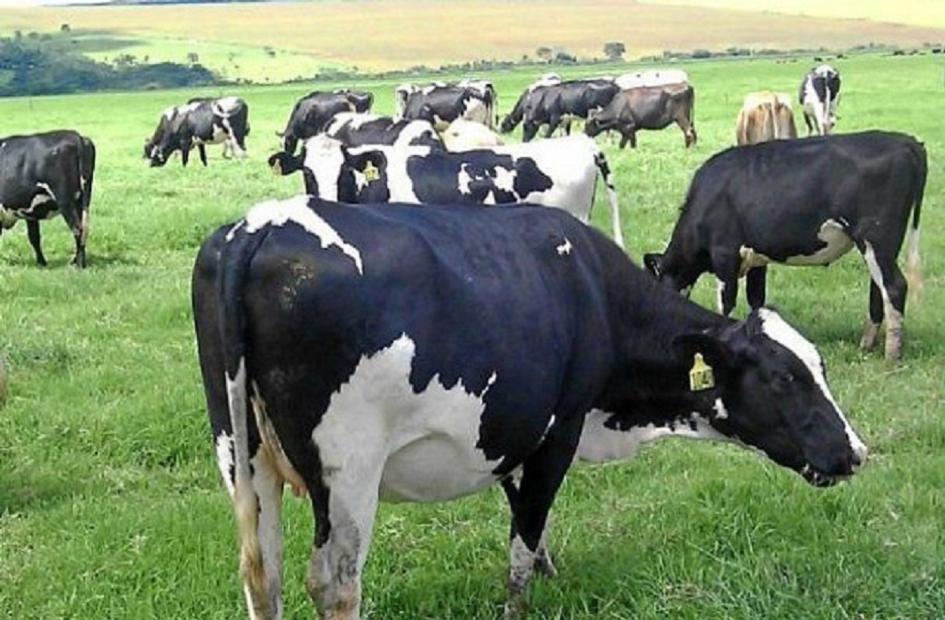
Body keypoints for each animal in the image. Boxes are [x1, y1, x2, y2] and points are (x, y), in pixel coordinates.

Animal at [0, 130, 95, 268]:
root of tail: (76, 136)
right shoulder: (30, 212)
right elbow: (34, 237)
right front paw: (41, 263)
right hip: (81, 200)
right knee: (83, 229)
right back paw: (75, 261)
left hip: (65, 201)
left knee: (78, 229)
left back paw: (79, 265)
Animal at [193, 195, 867, 620]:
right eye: (784, 377)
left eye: (820, 368)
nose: (854, 452)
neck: (595, 290)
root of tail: (260, 226)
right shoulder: (558, 430)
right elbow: (526, 533)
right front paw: (522, 598)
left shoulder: (513, 429)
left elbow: (525, 522)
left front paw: (550, 571)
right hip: (348, 468)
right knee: (334, 582)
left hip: (242, 457)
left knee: (264, 574)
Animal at [643, 131, 926, 361]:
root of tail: (907, 141)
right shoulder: (757, 258)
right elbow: (756, 299)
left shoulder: (724, 253)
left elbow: (726, 302)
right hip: (879, 246)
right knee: (879, 288)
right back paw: (866, 345)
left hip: (876, 237)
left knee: (894, 286)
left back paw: (891, 355)